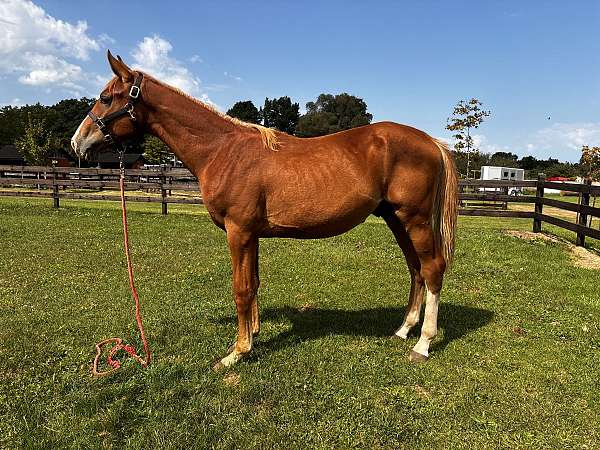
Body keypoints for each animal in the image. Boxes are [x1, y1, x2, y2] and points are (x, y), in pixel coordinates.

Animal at [70, 52, 458, 370]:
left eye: (106, 98)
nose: (77, 142)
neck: (223, 150)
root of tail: (431, 142)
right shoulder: (251, 234)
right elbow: (254, 283)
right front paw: (253, 335)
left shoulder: (239, 231)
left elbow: (241, 288)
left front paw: (237, 352)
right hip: (395, 218)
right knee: (416, 269)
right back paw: (404, 330)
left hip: (414, 219)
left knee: (432, 269)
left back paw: (423, 343)